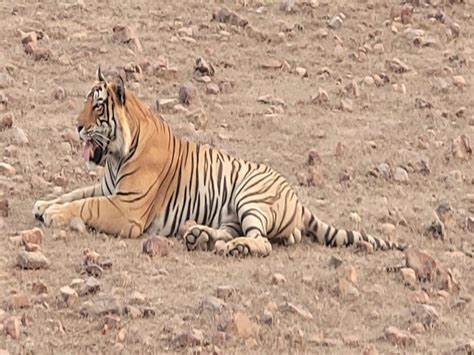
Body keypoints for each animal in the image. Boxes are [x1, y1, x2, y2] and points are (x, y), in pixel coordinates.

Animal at [32, 69, 408, 258]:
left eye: (96, 107)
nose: (76, 126)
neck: (115, 155)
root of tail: (298, 201)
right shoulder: (106, 186)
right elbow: (75, 193)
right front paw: (44, 204)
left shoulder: (126, 208)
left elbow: (87, 205)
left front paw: (53, 214)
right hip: (231, 212)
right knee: (230, 231)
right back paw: (199, 236)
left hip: (250, 198)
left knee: (262, 242)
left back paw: (233, 248)